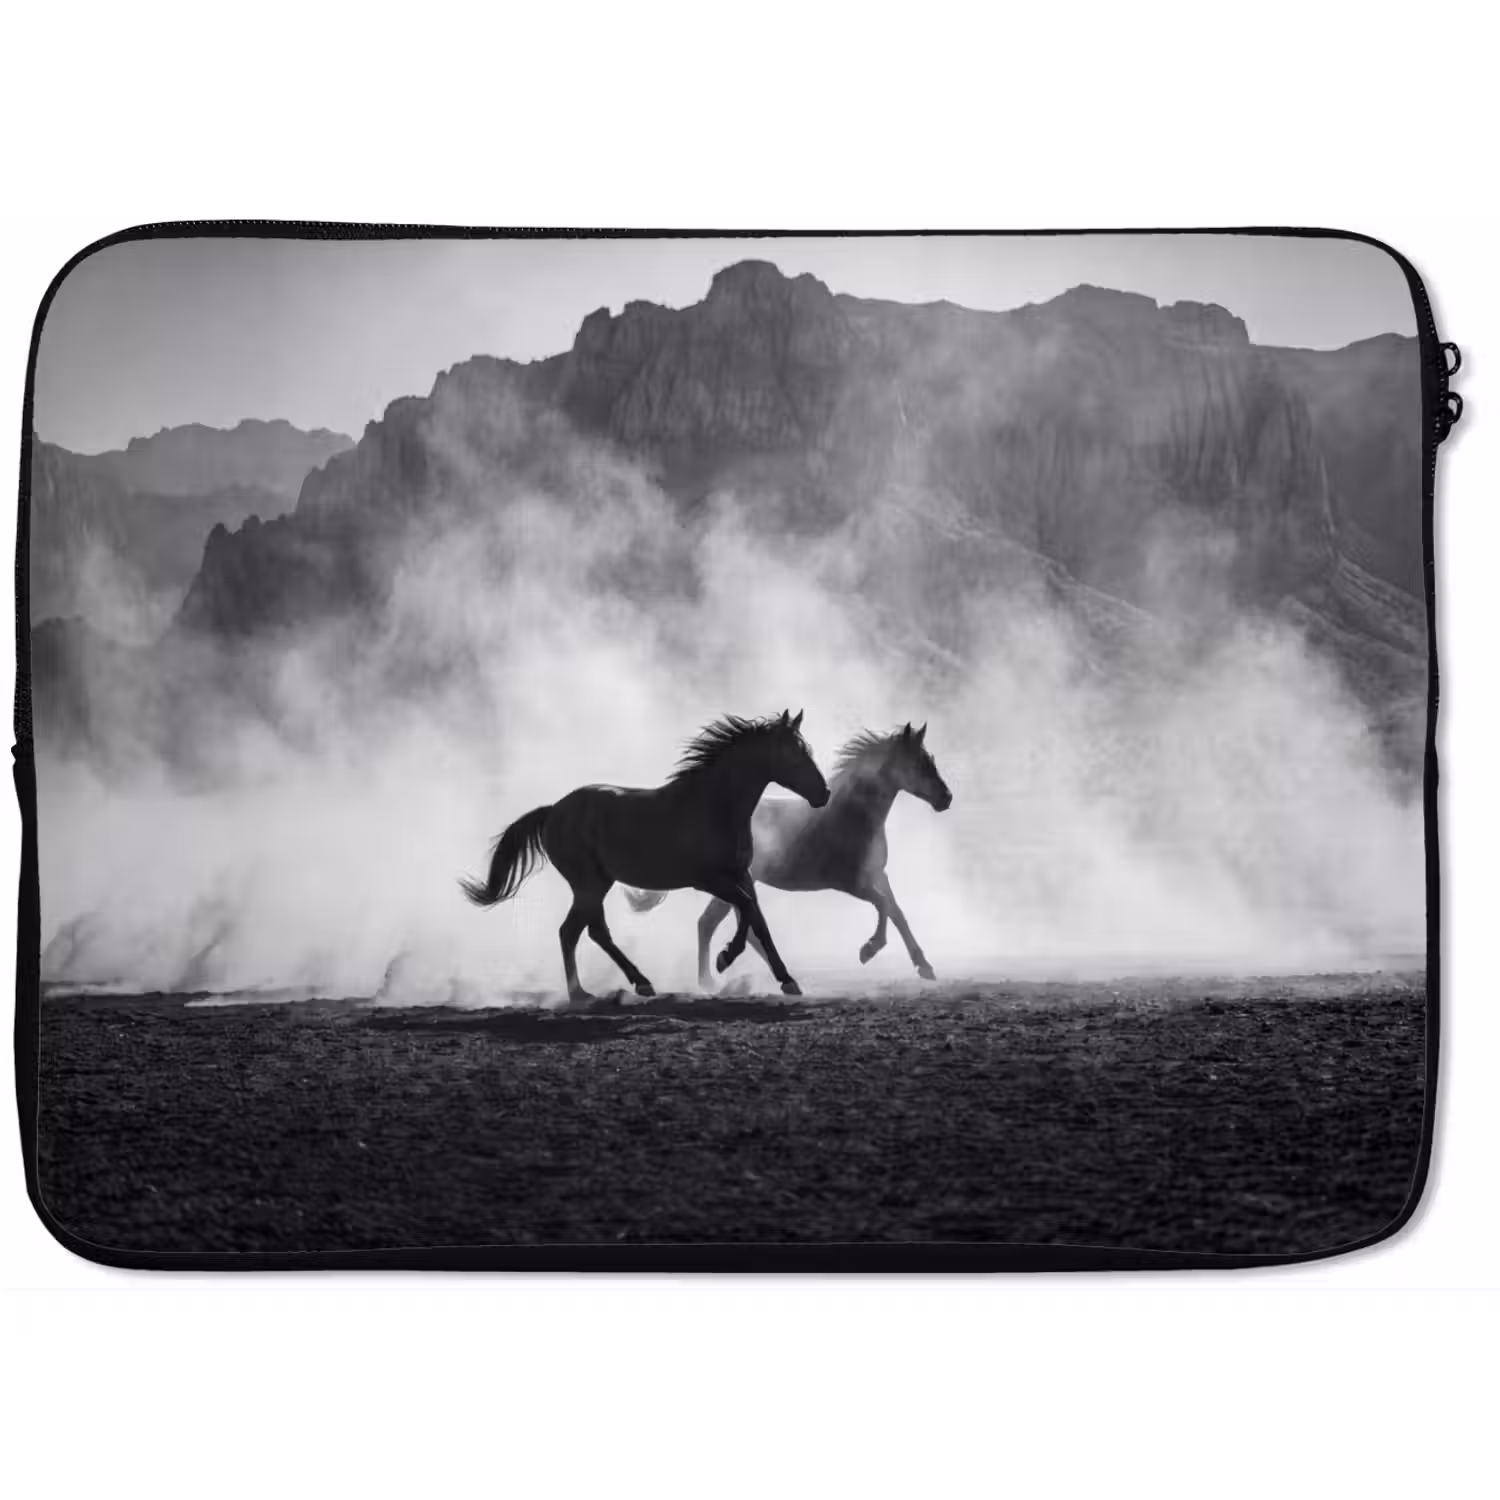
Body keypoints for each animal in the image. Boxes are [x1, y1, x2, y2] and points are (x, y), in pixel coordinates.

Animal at [459, 710, 831, 1002]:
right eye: (795, 754)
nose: (823, 794)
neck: (715, 806)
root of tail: (552, 811)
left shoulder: (741, 875)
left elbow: (758, 921)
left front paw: (788, 980)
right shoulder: (709, 880)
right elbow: (747, 909)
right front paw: (725, 958)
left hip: (598, 883)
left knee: (589, 932)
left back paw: (625, 985)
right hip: (588, 883)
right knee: (574, 932)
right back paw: (593, 991)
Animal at [626, 722, 952, 988]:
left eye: (931, 760)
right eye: (919, 763)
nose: (946, 799)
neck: (852, 816)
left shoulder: (876, 874)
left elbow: (898, 913)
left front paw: (924, 966)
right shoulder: (849, 882)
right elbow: (883, 905)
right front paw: (868, 950)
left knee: (727, 924)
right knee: (711, 923)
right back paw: (713, 979)